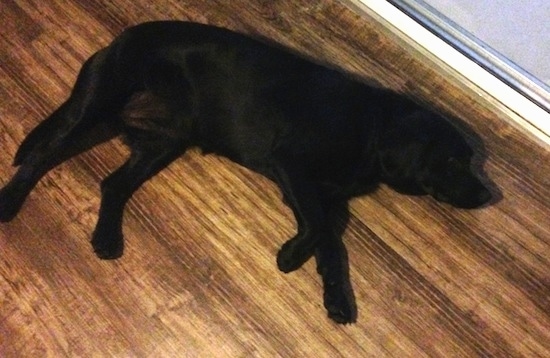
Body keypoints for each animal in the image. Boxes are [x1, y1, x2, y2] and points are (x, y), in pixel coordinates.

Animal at [0, 21, 492, 324]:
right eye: (455, 161)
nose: (488, 195)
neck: (368, 129)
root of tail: (115, 42)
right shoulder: (291, 167)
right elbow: (316, 229)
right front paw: (290, 258)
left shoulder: (327, 198)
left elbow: (332, 245)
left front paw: (335, 296)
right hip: (95, 113)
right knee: (40, 154)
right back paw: (11, 201)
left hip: (163, 141)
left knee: (112, 183)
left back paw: (106, 238)